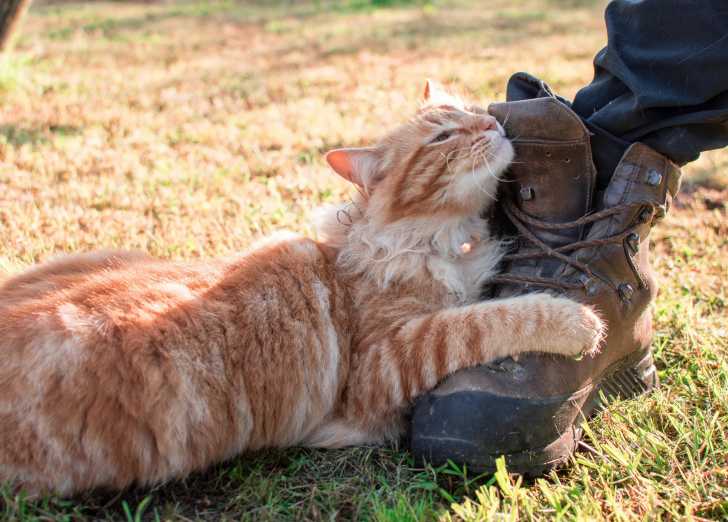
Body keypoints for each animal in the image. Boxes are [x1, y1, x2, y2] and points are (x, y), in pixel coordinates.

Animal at [0, 81, 604, 492]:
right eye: (443, 135)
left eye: (474, 112)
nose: (492, 128)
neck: (428, 238)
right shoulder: (383, 363)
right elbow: (489, 318)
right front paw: (576, 321)